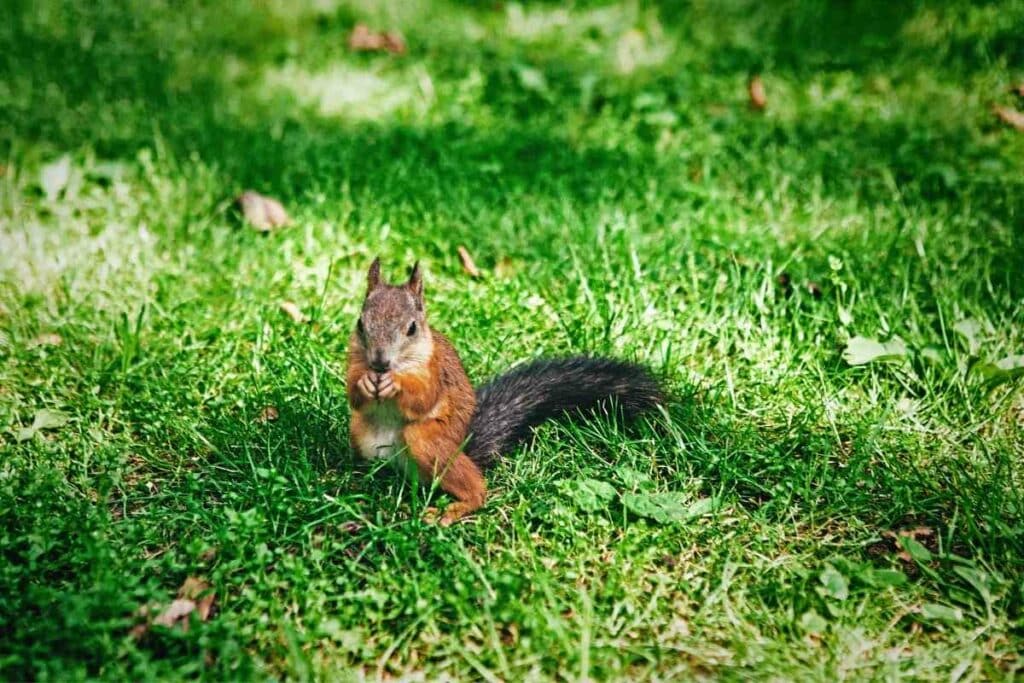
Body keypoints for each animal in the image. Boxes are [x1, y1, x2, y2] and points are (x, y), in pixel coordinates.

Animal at [346, 259, 663, 528]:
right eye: (361, 324)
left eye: (411, 329)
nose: (380, 362)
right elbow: (353, 393)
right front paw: (365, 383)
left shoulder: (434, 371)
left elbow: (423, 399)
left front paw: (396, 385)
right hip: (360, 432)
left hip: (428, 442)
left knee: (473, 485)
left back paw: (460, 506)